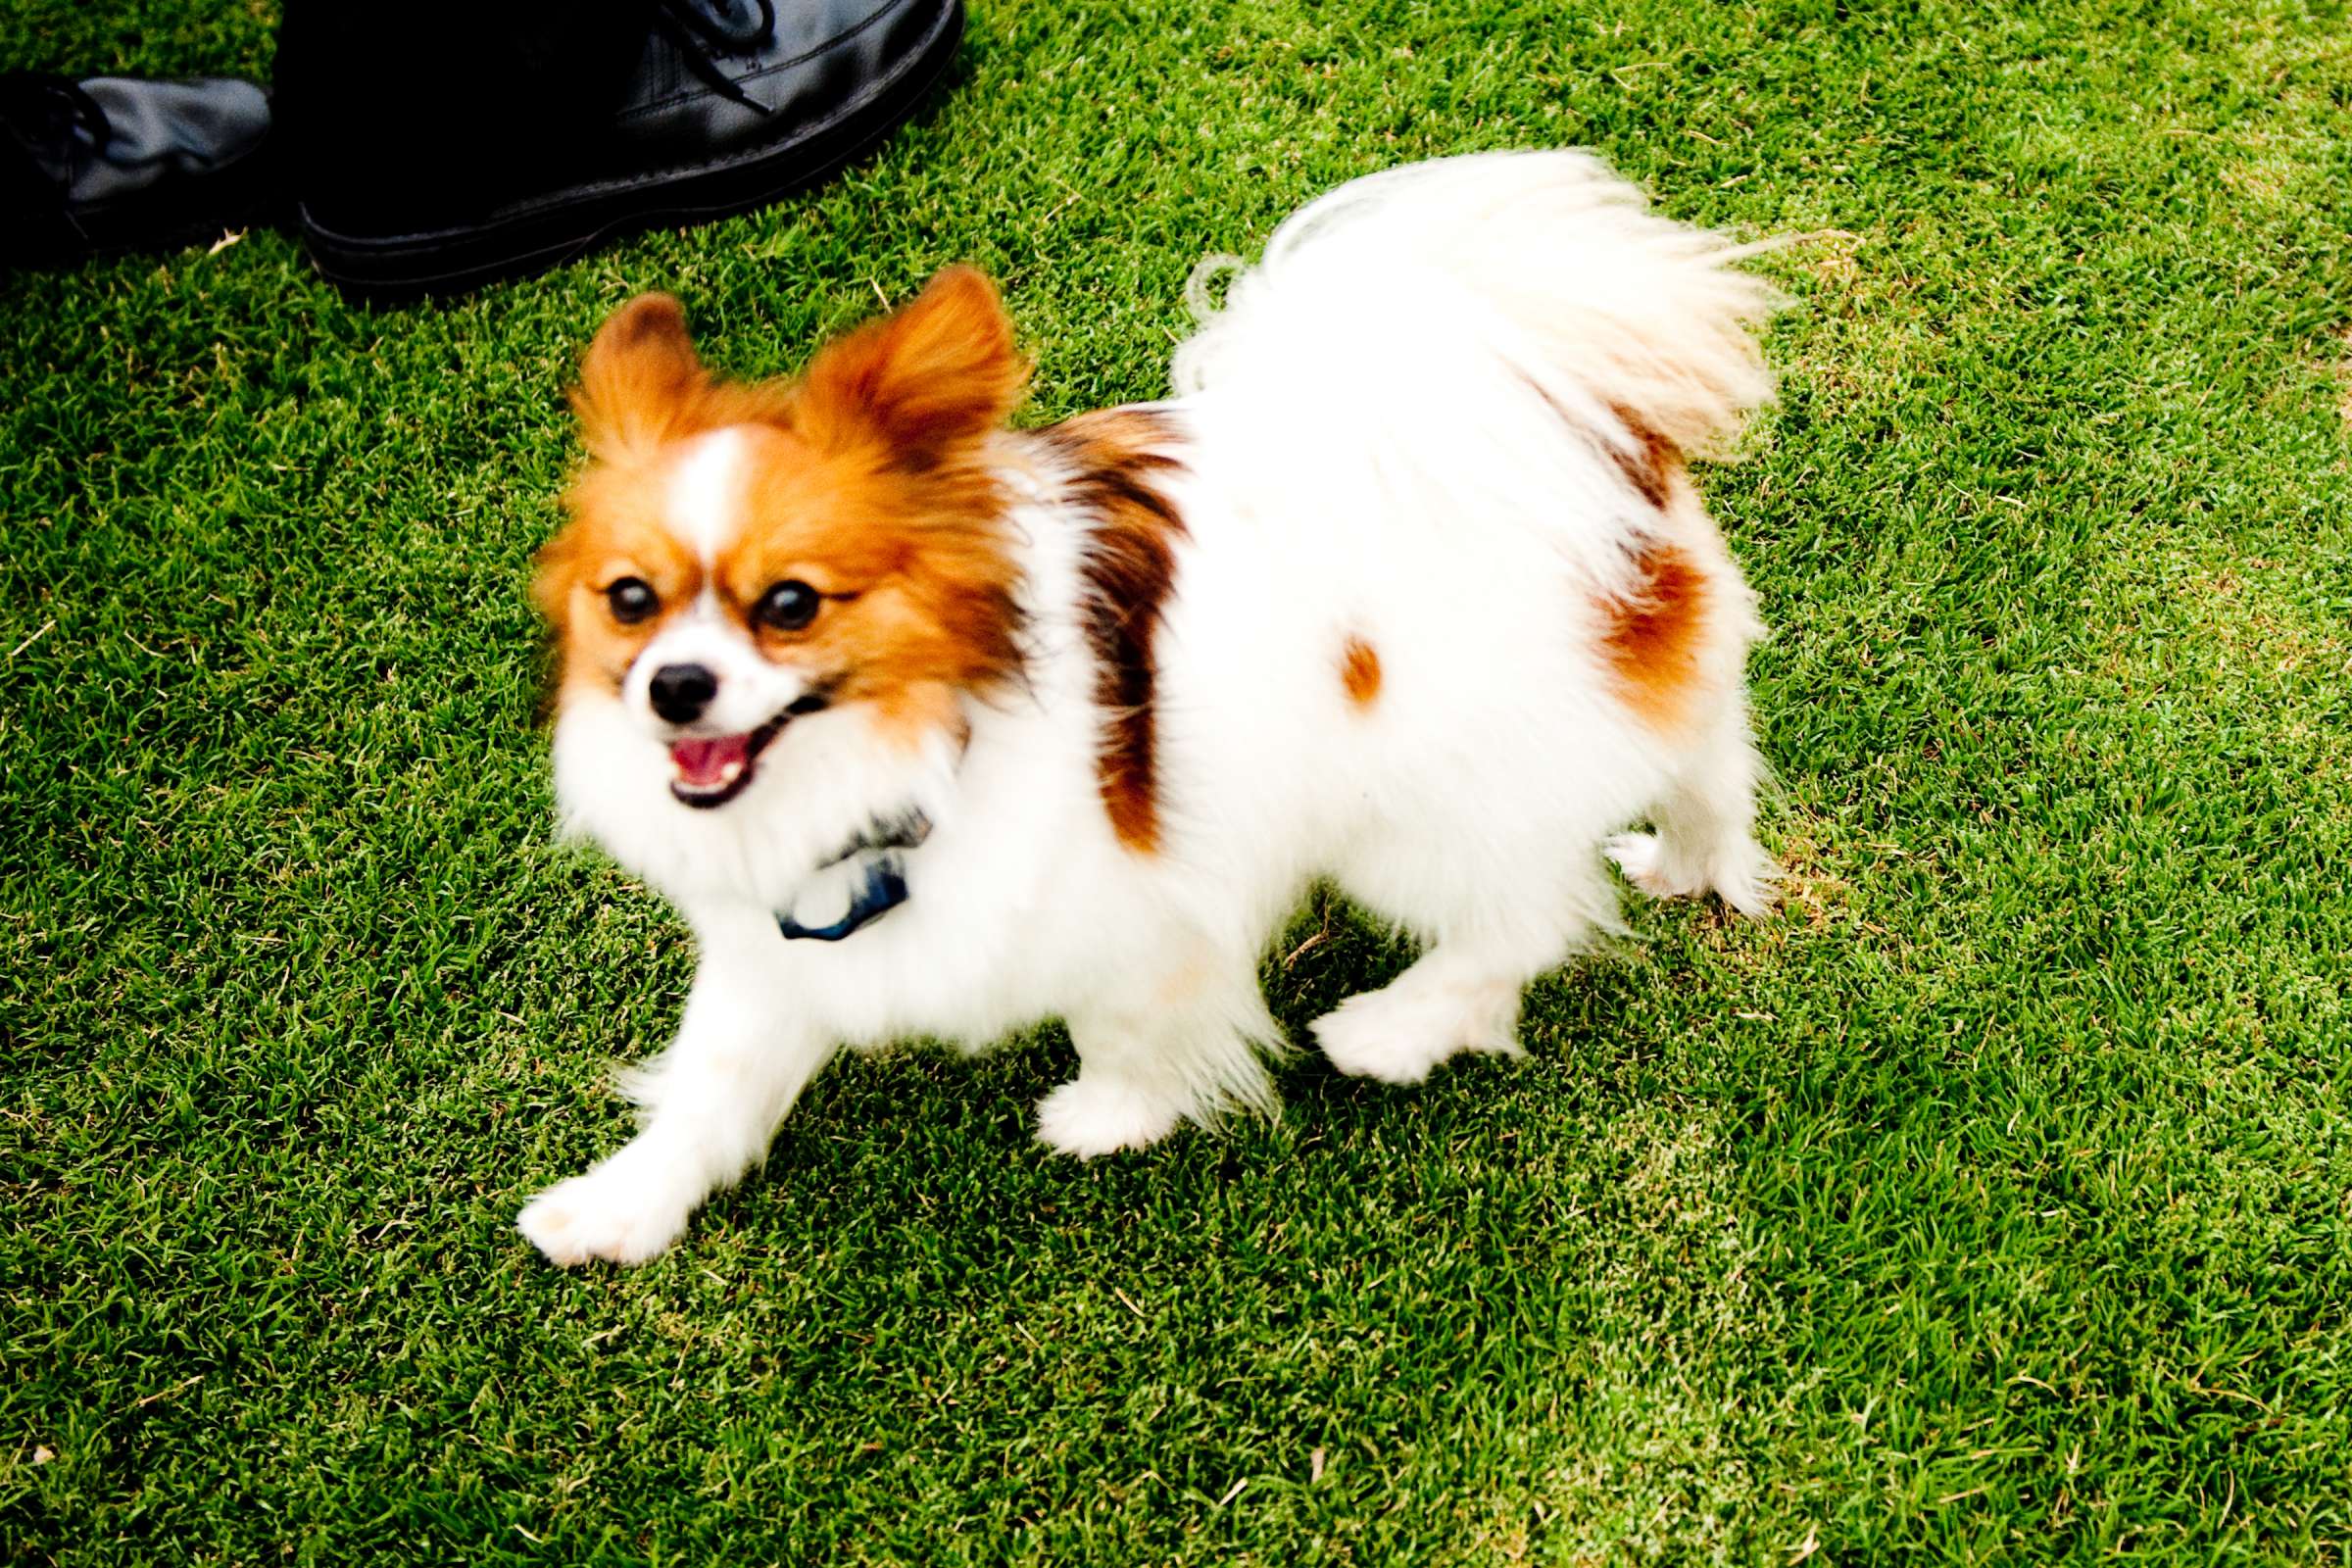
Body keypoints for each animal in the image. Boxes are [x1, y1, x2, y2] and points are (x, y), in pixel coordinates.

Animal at [519, 152, 1778, 1269]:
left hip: (1407, 809)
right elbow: (712, 1082)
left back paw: (1392, 1030)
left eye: (790, 604)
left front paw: (1110, 1115)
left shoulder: (1142, 905)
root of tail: (1559, 420)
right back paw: (1687, 868)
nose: (673, 687)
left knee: (1527, 919)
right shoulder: (782, 942)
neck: (902, 748)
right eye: (629, 601)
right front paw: (618, 1209)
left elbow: (1119, 1025)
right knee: (1709, 774)